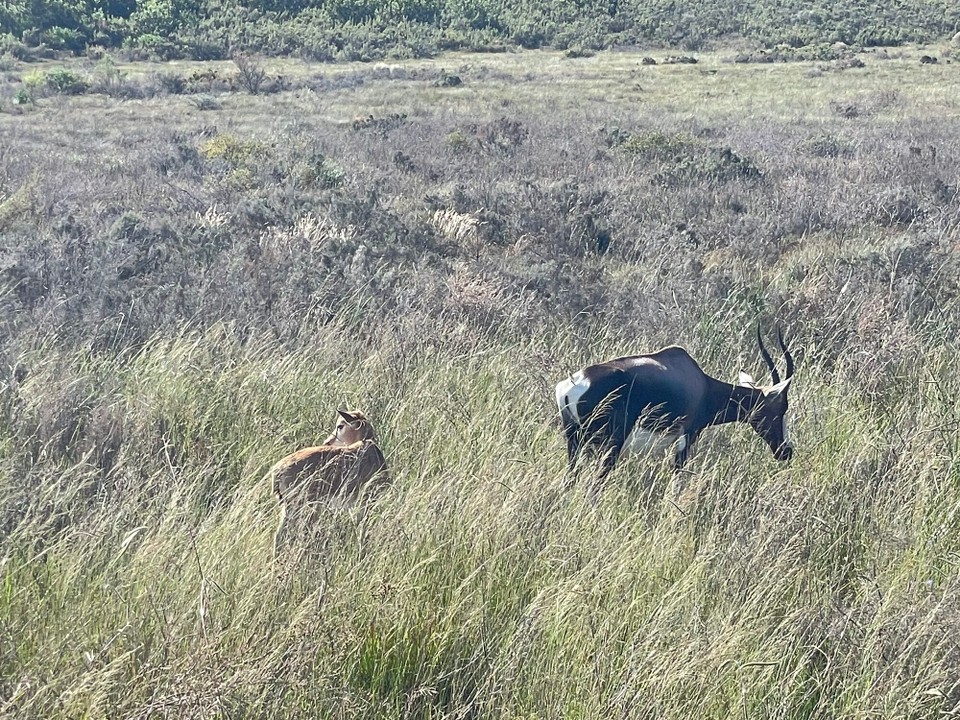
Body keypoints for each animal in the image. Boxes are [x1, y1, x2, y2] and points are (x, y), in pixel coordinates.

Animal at [556, 328, 796, 484]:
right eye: (781, 409)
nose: (786, 451)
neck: (701, 384)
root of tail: (574, 384)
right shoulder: (685, 441)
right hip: (608, 447)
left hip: (575, 443)